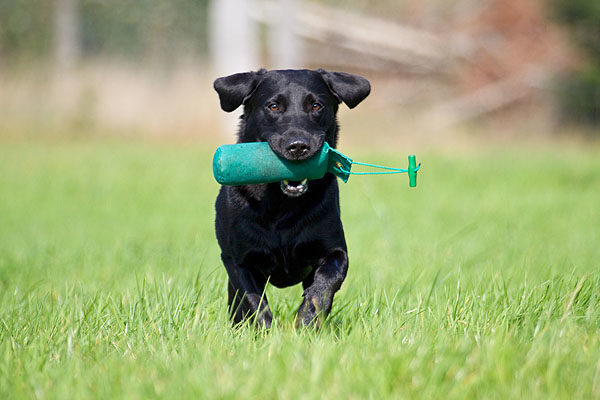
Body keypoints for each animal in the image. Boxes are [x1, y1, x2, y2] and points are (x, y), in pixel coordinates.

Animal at [213, 68, 368, 328]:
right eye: (274, 106)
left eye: (316, 105)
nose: (298, 146)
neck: (281, 204)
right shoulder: (238, 260)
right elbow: (254, 302)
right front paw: (267, 332)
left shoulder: (334, 249)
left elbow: (326, 283)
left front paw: (307, 319)